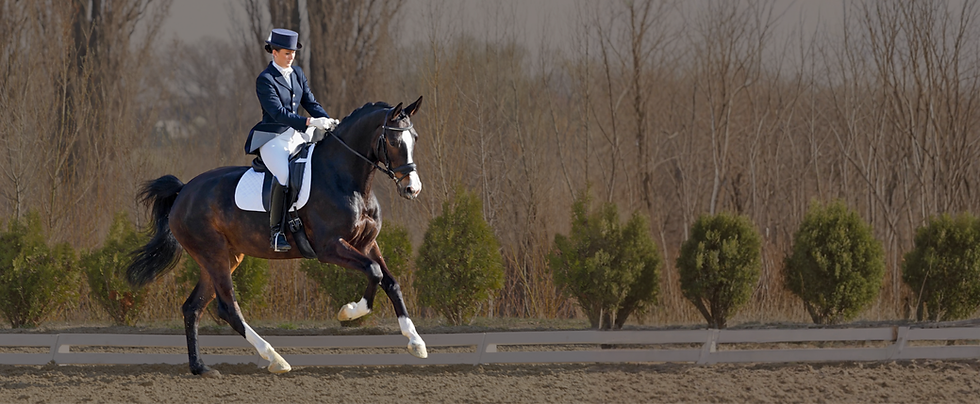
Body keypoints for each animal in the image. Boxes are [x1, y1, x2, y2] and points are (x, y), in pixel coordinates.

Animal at [125, 97, 426, 377]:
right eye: (394, 141)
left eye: (414, 139)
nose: (412, 189)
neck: (347, 180)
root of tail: (184, 191)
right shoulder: (330, 248)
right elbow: (374, 271)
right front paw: (350, 311)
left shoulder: (367, 243)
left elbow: (390, 281)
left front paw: (415, 341)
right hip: (214, 255)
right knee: (227, 307)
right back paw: (275, 359)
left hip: (226, 257)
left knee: (193, 308)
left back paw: (201, 367)